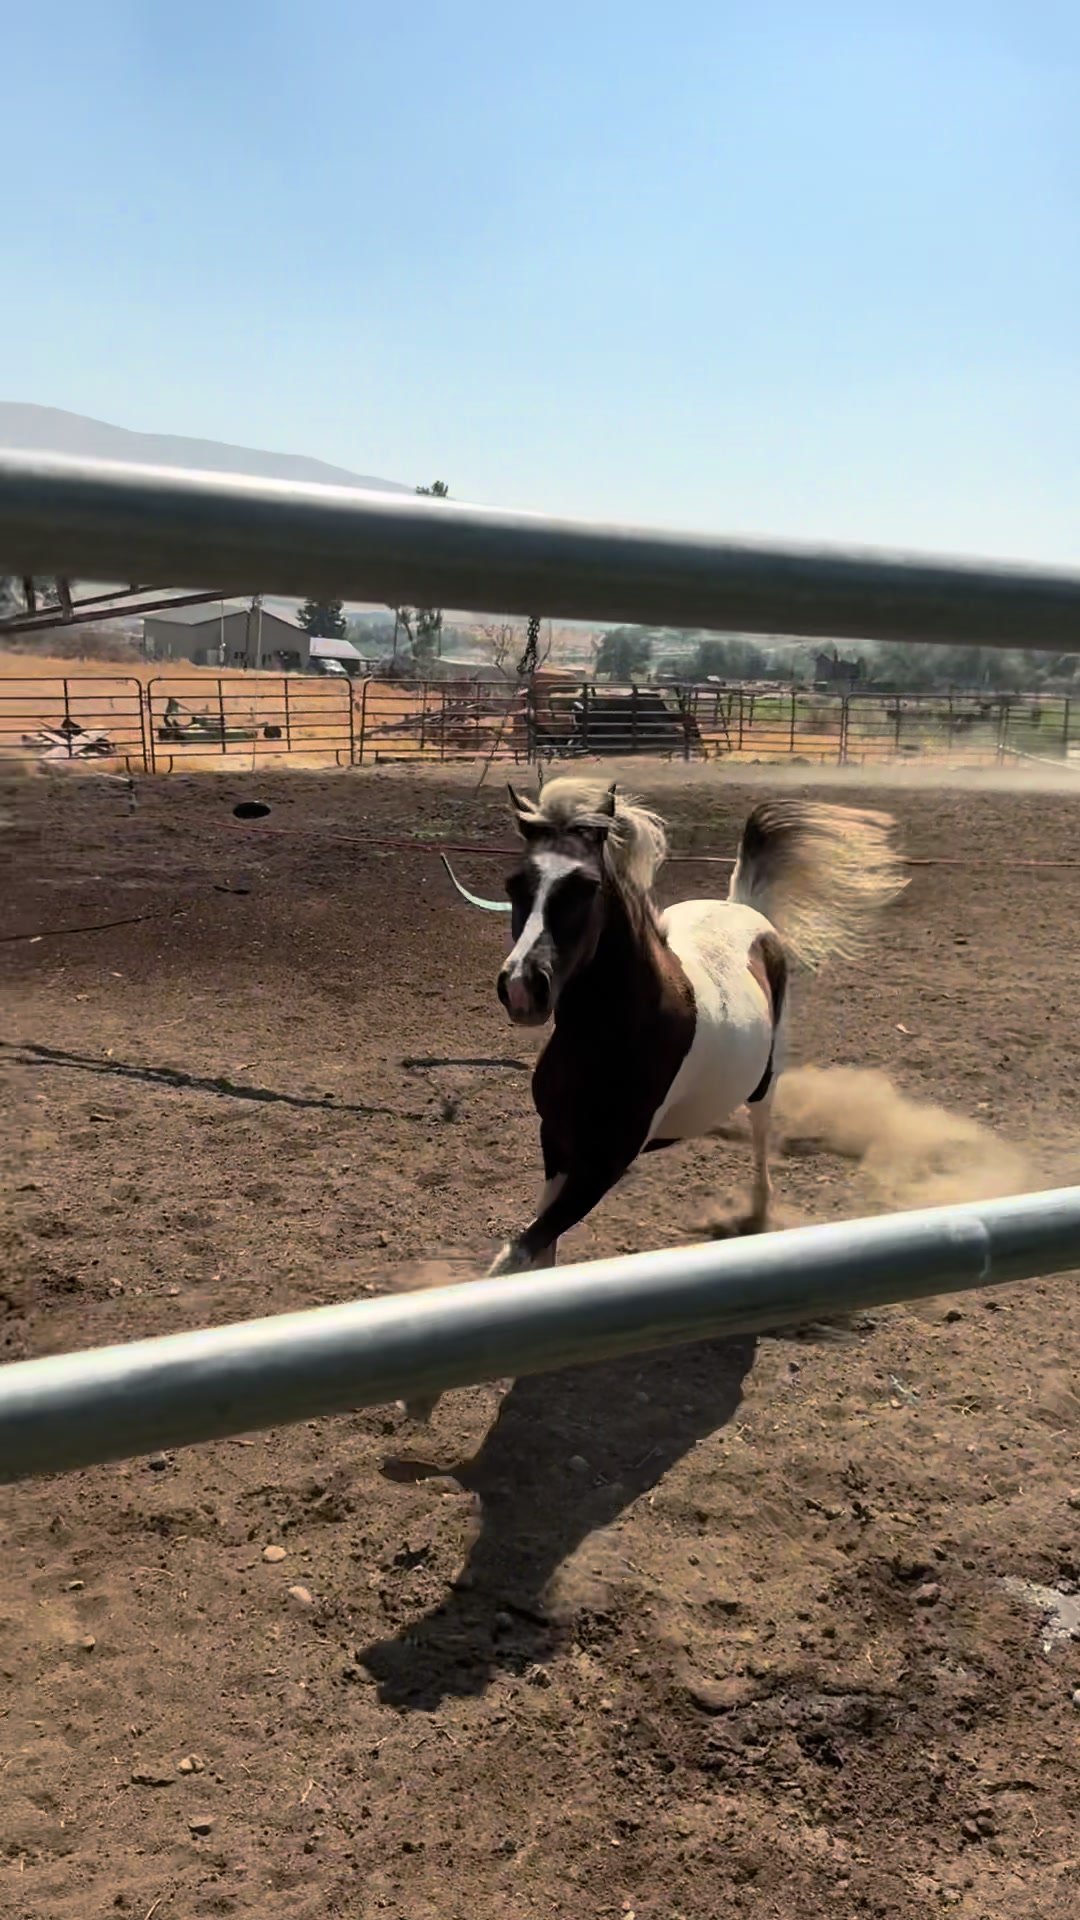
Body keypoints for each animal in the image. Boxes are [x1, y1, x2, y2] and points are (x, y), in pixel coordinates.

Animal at [404, 778, 907, 1420]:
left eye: (585, 887)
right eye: (515, 885)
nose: (521, 989)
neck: (610, 1035)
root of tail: (746, 908)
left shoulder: (607, 1162)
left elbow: (522, 1245)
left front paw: (424, 1393)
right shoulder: (556, 1140)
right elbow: (540, 1240)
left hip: (766, 1078)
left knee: (762, 1140)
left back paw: (757, 1215)